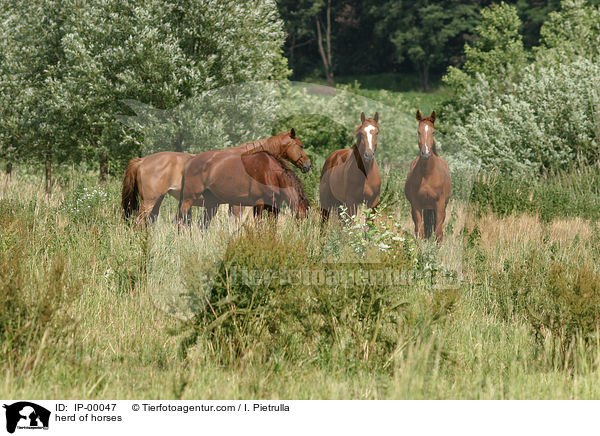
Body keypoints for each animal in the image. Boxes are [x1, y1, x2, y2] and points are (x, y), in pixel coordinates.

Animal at [177, 150, 310, 227]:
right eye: (301, 218)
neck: (270, 172)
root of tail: (191, 161)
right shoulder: (258, 205)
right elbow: (259, 227)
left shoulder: (273, 208)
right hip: (188, 200)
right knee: (181, 220)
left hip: (212, 205)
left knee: (202, 224)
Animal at [406, 110, 452, 244]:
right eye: (418, 131)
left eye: (433, 132)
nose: (425, 153)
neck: (427, 175)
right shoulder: (416, 205)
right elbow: (420, 232)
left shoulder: (440, 205)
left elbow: (438, 234)